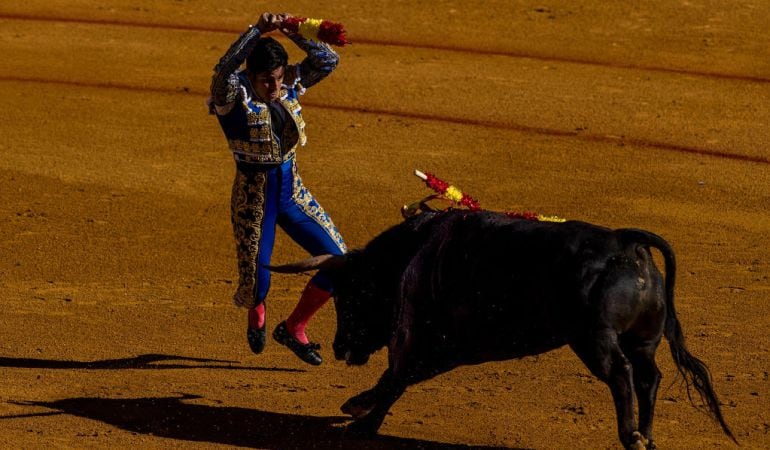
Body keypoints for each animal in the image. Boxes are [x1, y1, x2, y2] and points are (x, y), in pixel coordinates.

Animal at [270, 211, 732, 450]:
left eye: (350, 294)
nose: (339, 347)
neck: (411, 253)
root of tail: (625, 242)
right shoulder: (448, 347)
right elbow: (398, 379)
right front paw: (358, 408)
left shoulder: (415, 334)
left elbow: (394, 378)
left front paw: (361, 421)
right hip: (643, 340)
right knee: (649, 377)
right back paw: (647, 436)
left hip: (594, 339)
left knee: (621, 374)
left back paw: (630, 436)